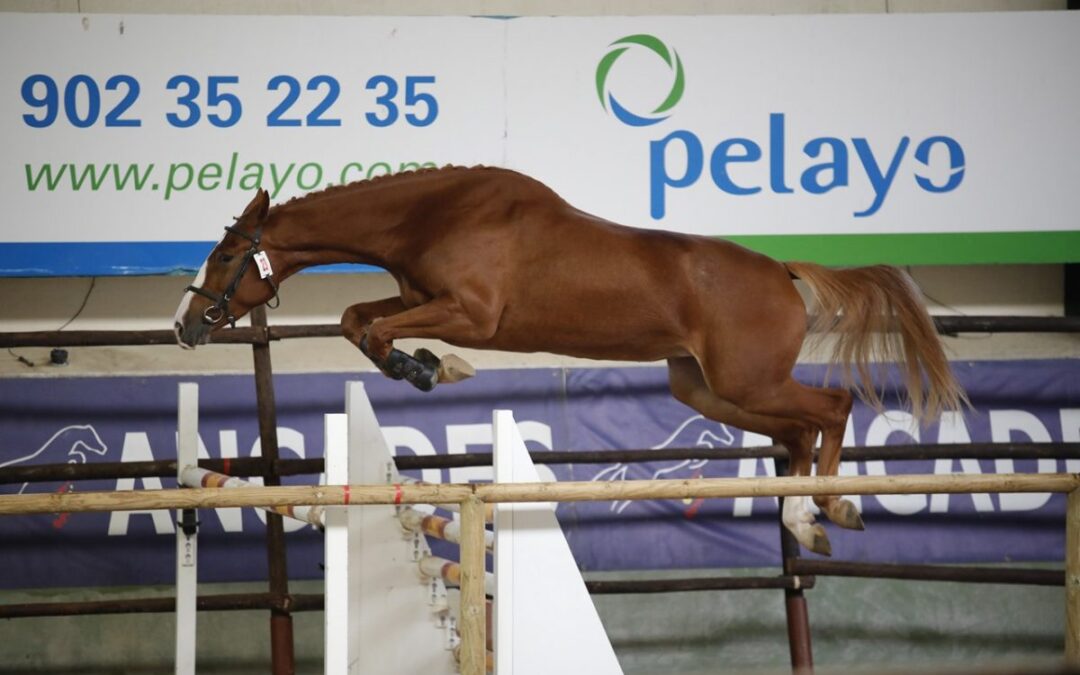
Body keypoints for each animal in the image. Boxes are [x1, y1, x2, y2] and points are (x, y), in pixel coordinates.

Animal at [172, 164, 967, 552]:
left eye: (227, 256)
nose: (184, 325)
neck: (434, 214)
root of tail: (782, 270)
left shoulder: (472, 313)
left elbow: (372, 331)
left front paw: (433, 367)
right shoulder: (420, 298)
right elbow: (357, 321)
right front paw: (427, 366)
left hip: (749, 378)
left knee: (831, 408)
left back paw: (836, 505)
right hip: (707, 389)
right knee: (798, 431)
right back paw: (805, 520)